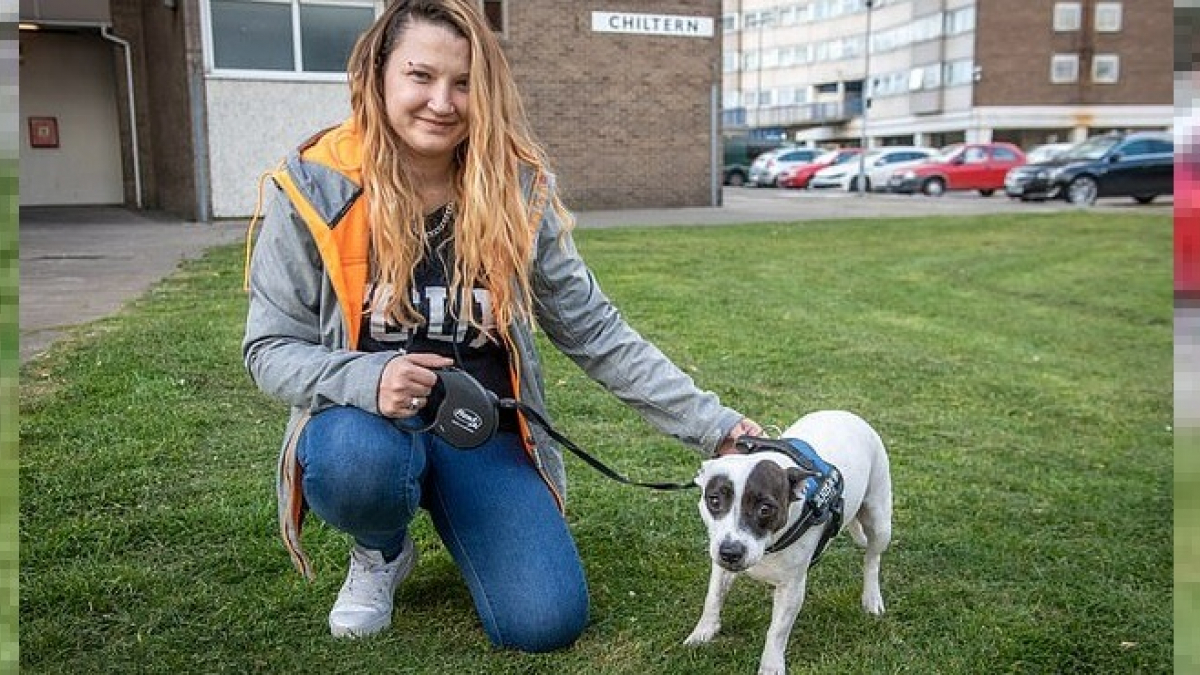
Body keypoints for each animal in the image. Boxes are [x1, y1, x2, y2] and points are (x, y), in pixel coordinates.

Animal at [686, 408, 892, 667]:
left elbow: (777, 631)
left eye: (765, 509)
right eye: (714, 500)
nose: (731, 552)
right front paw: (703, 631)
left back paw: (872, 597)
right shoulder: (721, 564)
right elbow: (712, 597)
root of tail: (848, 413)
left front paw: (771, 666)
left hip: (880, 521)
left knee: (872, 559)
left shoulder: (791, 587)